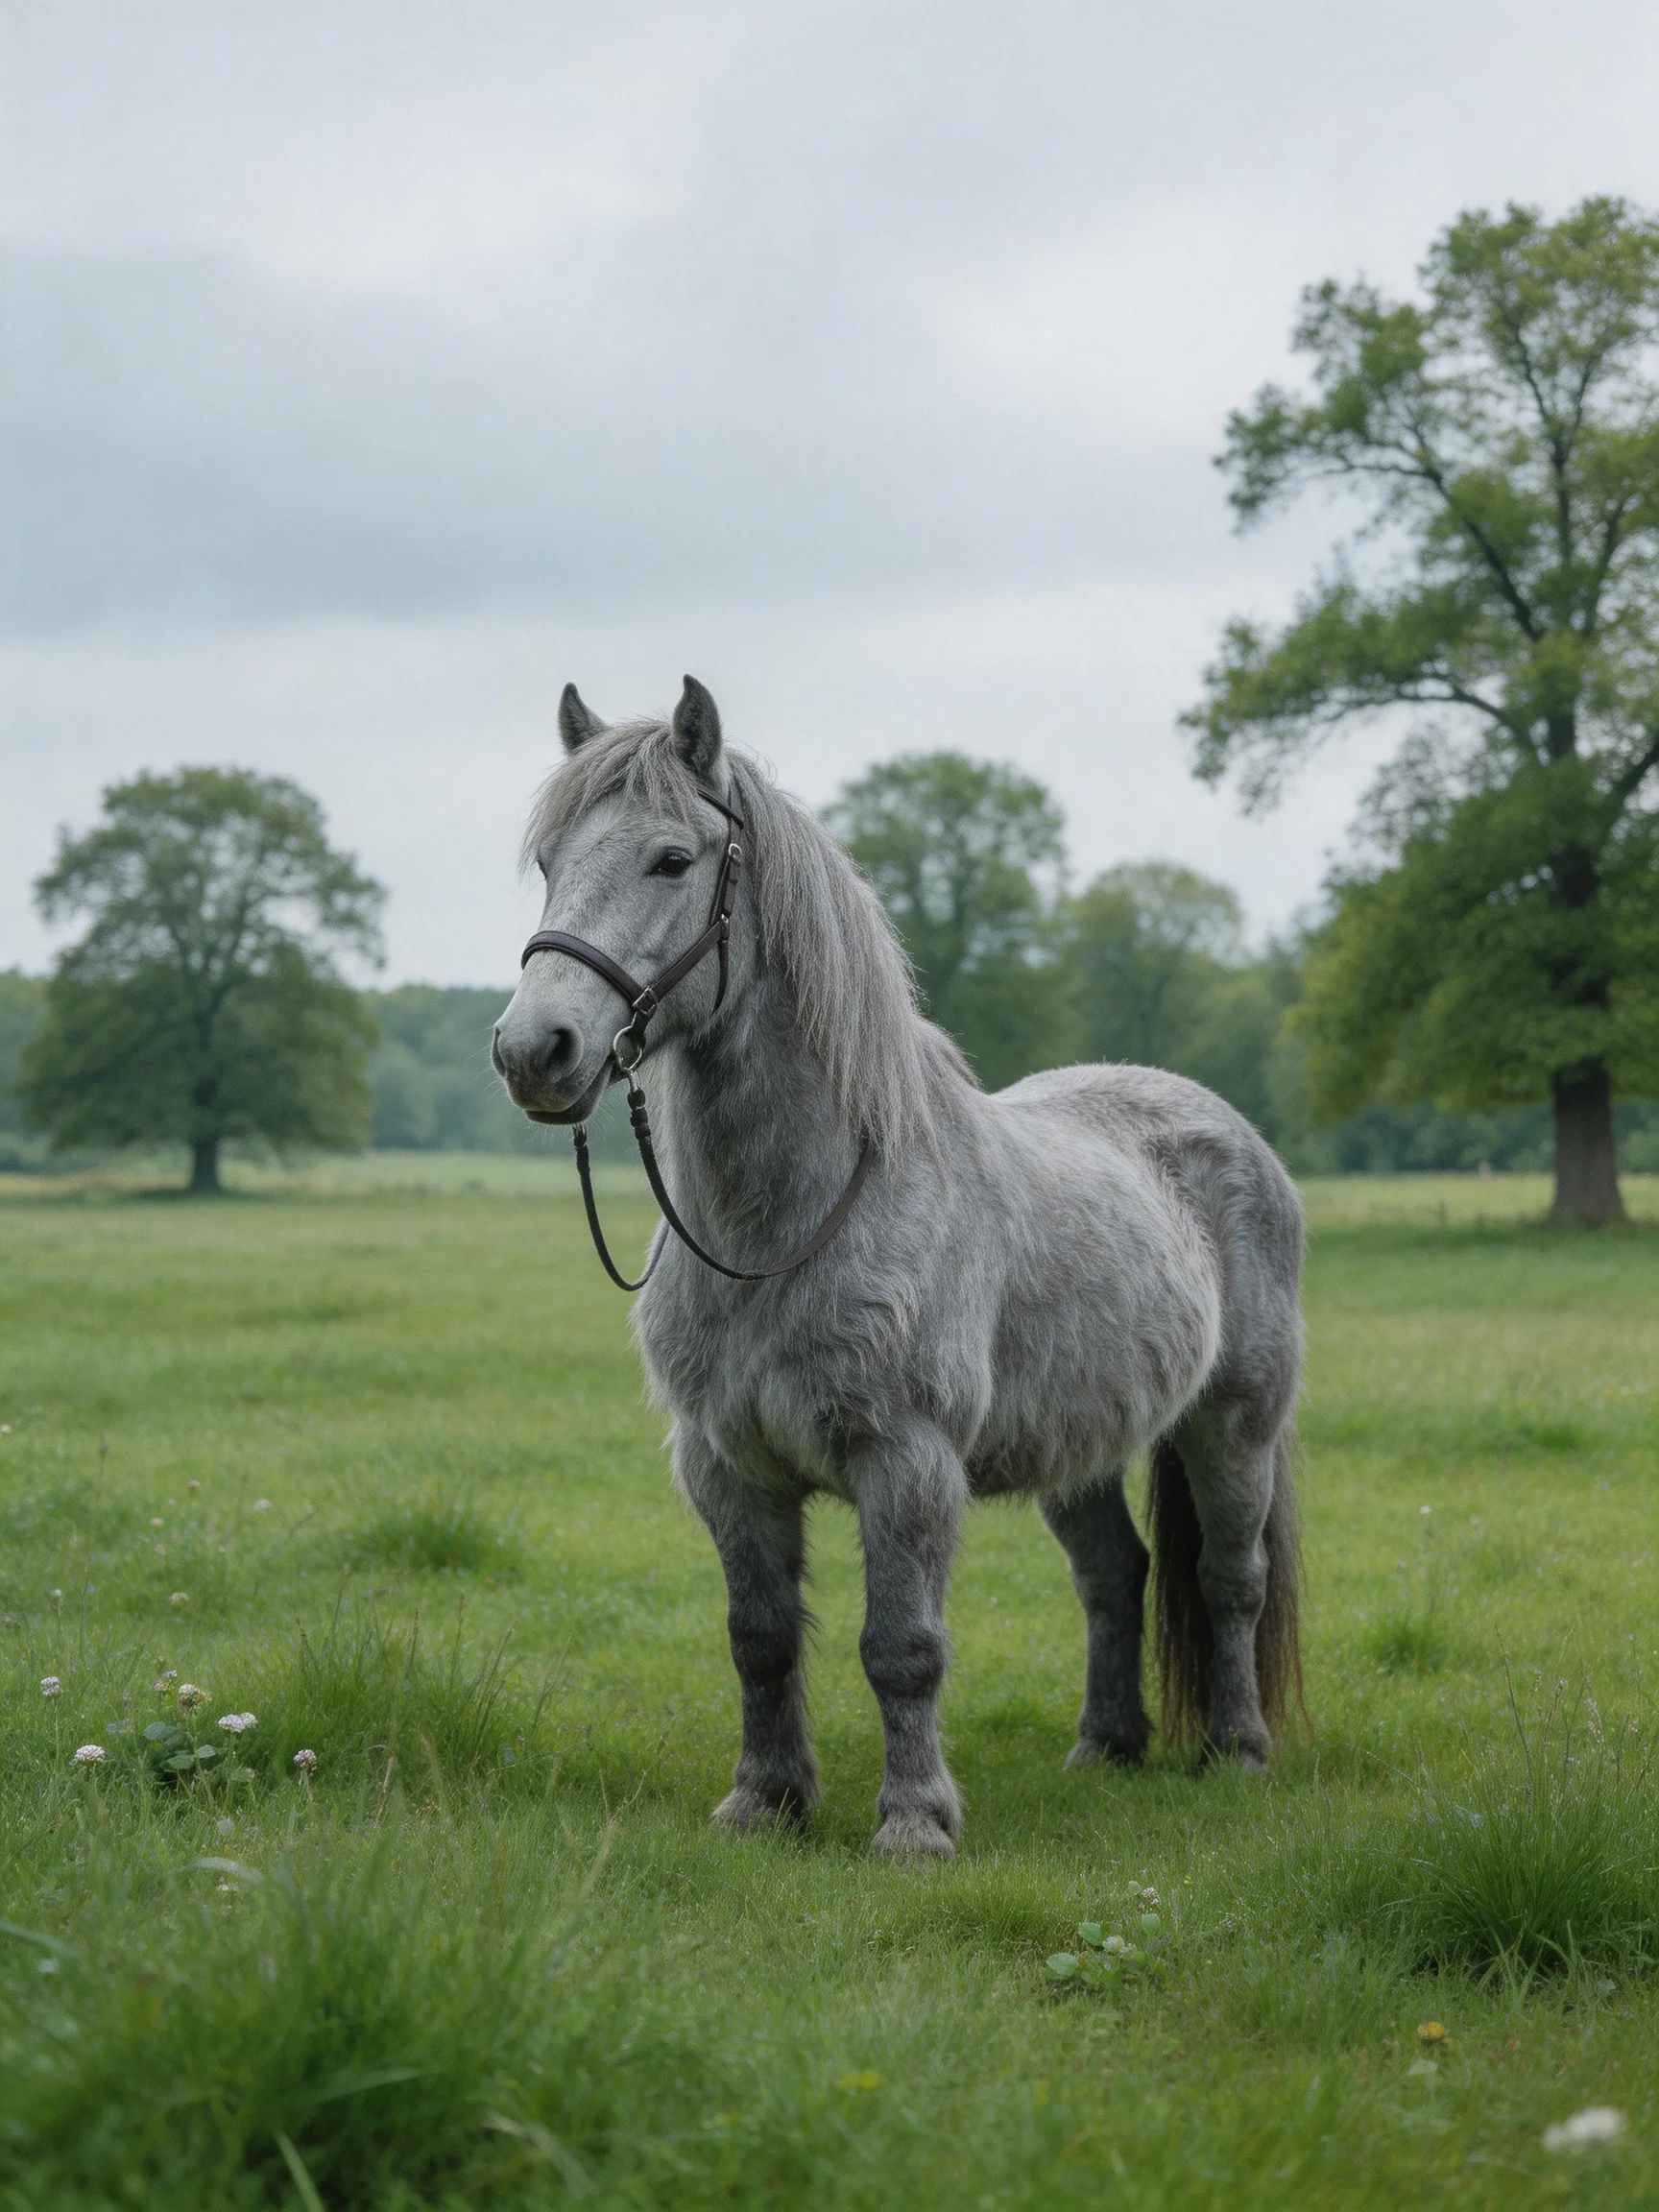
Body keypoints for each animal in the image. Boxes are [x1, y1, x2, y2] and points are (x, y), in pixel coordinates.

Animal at [493, 676, 1304, 1859]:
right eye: (551, 861)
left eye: (672, 860)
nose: (532, 1050)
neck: (776, 1233)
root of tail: (1227, 1128)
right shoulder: (726, 1468)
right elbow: (760, 1637)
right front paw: (764, 1800)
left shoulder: (906, 1464)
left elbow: (902, 1648)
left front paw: (915, 1822)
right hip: (1078, 1442)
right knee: (1115, 1574)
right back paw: (1105, 1747)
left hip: (1234, 1425)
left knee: (1229, 1579)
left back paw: (1237, 1752)